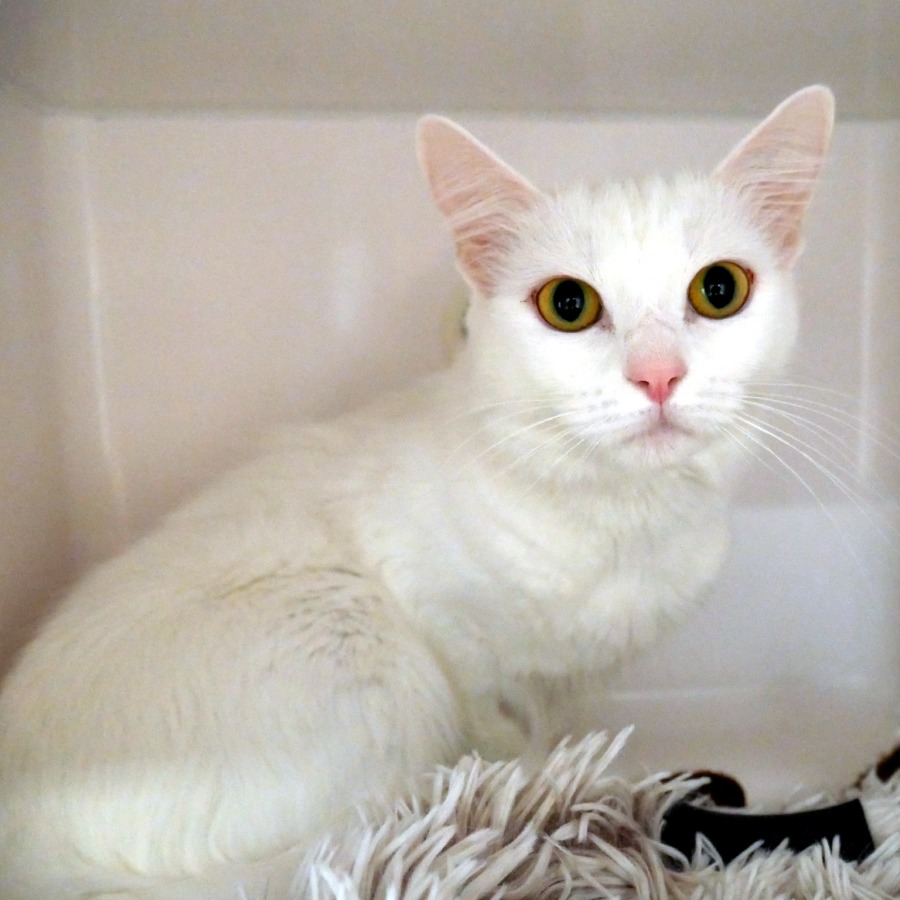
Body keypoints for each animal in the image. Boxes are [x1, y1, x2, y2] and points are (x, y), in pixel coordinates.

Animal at [0, 86, 833, 899]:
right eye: (568, 304)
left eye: (719, 289)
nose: (658, 375)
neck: (619, 519)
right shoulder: (455, 643)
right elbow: (505, 734)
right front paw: (538, 786)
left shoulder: (569, 683)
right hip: (362, 636)